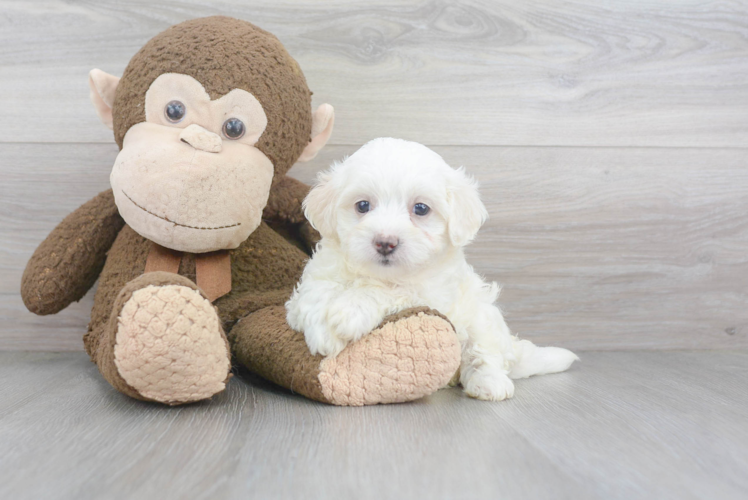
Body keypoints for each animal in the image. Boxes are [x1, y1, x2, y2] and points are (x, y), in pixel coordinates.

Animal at [286, 138, 580, 402]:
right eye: (362, 205)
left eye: (420, 208)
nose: (385, 242)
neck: (376, 274)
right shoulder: (319, 275)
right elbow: (316, 292)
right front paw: (322, 330)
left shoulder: (429, 294)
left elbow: (390, 290)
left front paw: (350, 311)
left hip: (483, 316)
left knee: (485, 355)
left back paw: (489, 383)